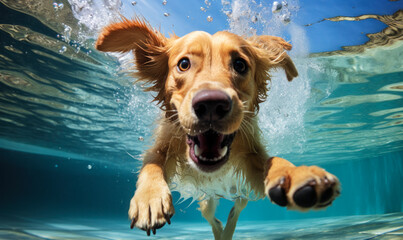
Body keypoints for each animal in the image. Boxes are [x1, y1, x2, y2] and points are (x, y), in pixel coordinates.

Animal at [97, 17, 340, 240]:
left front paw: (296, 174)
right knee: (213, 218)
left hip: (242, 192)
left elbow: (272, 160)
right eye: (183, 64)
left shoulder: (251, 152)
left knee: (237, 208)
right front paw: (149, 198)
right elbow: (152, 163)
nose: (211, 105)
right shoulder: (164, 144)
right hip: (207, 199)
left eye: (240, 65)